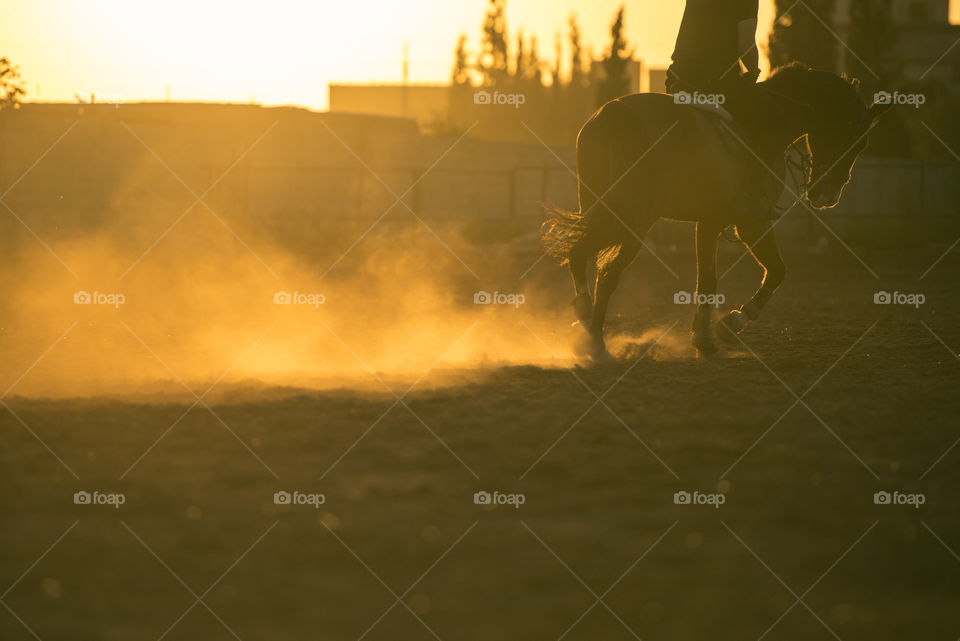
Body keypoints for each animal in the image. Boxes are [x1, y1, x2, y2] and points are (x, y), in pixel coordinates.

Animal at [544, 63, 888, 360]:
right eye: (857, 140)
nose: (827, 195)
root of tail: (613, 113)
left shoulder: (709, 222)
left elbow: (708, 281)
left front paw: (704, 339)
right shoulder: (751, 222)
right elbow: (777, 271)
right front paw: (732, 324)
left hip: (604, 212)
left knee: (579, 256)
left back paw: (584, 319)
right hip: (633, 222)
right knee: (605, 273)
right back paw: (596, 343)